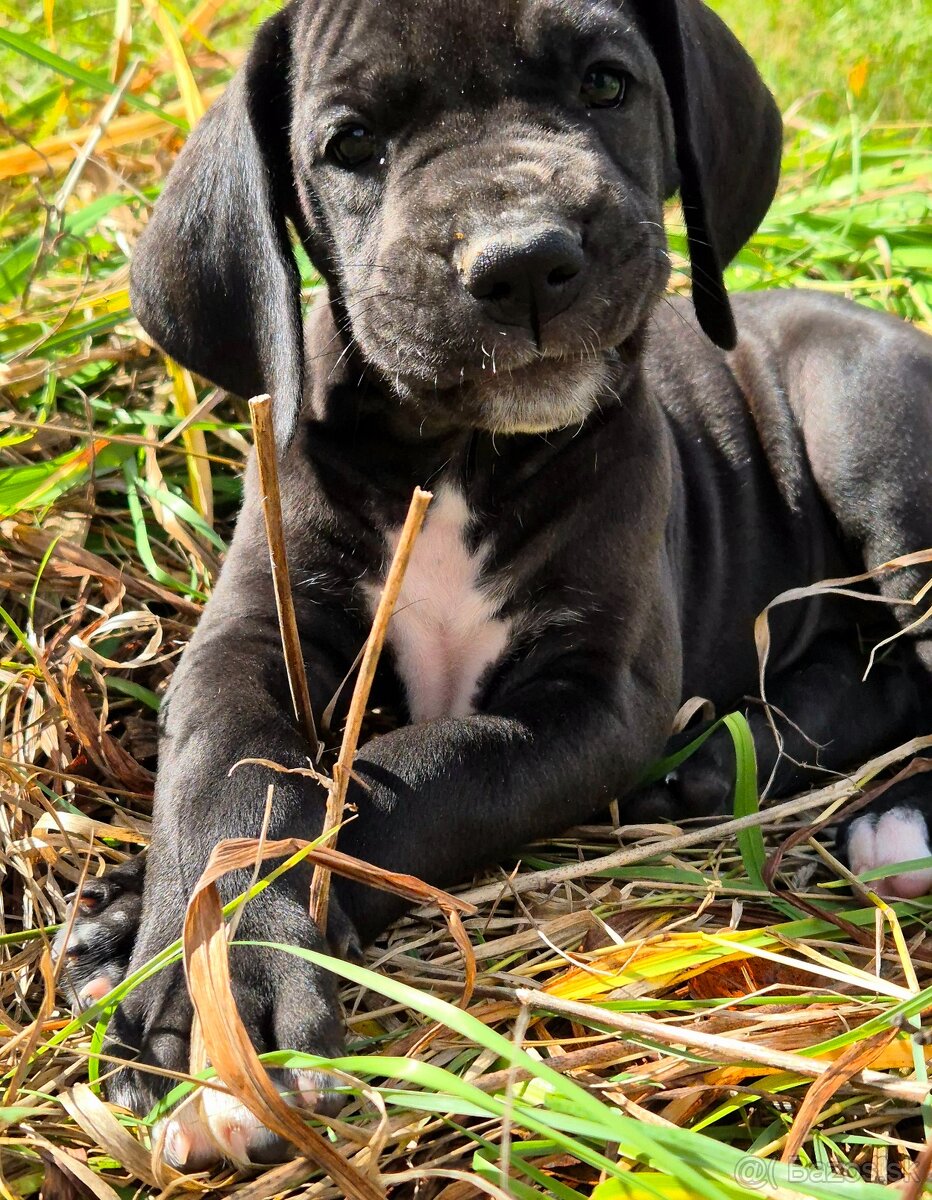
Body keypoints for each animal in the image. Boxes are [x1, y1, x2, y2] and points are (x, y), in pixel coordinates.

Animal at [52, 0, 930, 1166]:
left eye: (605, 85)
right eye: (351, 145)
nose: (521, 261)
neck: (458, 454)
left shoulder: (590, 704)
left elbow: (409, 775)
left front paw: (221, 984)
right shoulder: (252, 631)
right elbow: (233, 772)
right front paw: (173, 946)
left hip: (868, 429)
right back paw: (719, 765)